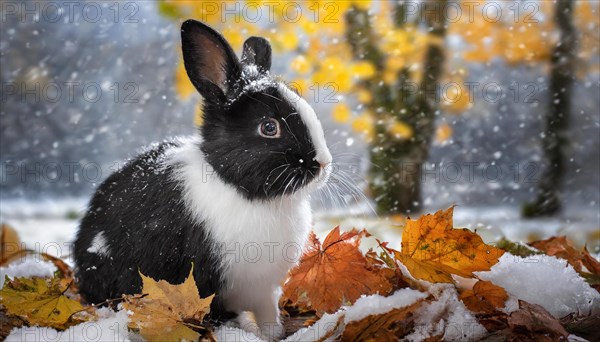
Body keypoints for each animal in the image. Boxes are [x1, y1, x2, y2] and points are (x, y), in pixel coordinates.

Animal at [74, 20, 332, 340]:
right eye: (269, 127)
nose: (323, 164)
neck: (245, 192)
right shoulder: (209, 281)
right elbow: (217, 313)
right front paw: (243, 331)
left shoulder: (264, 291)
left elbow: (268, 315)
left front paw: (271, 335)